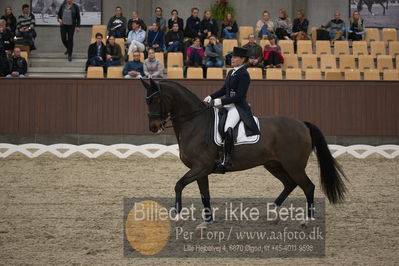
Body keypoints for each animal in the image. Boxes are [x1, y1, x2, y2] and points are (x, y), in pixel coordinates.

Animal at [141, 78, 346, 228]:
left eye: (156, 100)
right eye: (146, 101)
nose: (153, 127)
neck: (195, 123)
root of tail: (302, 124)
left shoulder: (201, 167)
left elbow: (179, 185)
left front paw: (178, 216)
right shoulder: (200, 170)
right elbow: (204, 194)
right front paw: (206, 222)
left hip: (293, 165)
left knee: (308, 186)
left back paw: (306, 220)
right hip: (273, 164)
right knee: (289, 183)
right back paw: (273, 212)